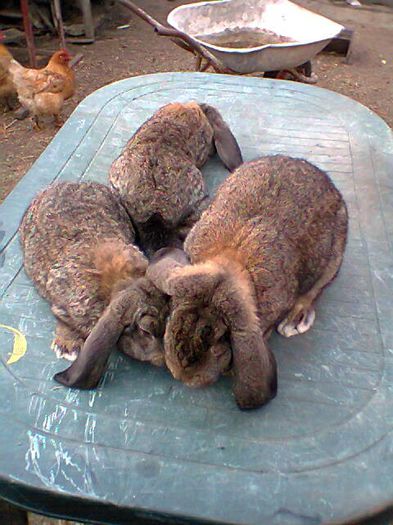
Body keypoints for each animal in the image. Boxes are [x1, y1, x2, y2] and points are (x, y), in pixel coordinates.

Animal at [146, 156, 346, 410]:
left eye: (220, 338)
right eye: (172, 313)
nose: (184, 375)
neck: (231, 260)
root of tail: (329, 185)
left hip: (333, 258)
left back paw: (295, 321)